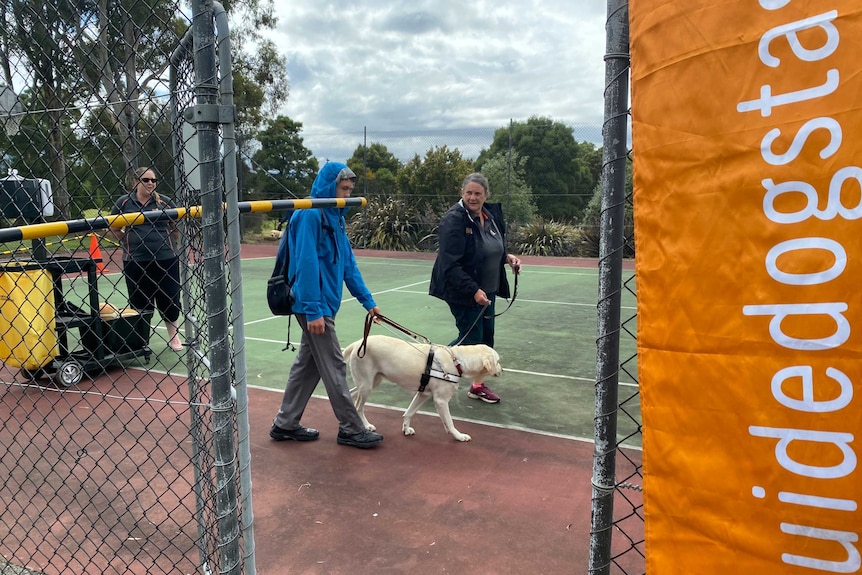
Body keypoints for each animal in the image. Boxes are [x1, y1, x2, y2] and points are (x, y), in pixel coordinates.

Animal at [342, 336, 502, 444]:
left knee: (351, 395)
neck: (457, 361)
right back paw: (366, 425)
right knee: (358, 407)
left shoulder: (423, 394)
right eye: (498, 361)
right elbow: (450, 422)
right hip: (366, 386)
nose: (501, 371)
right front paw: (459, 436)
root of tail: (357, 342)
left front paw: (406, 429)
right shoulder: (441, 401)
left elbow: (409, 413)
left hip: (372, 382)